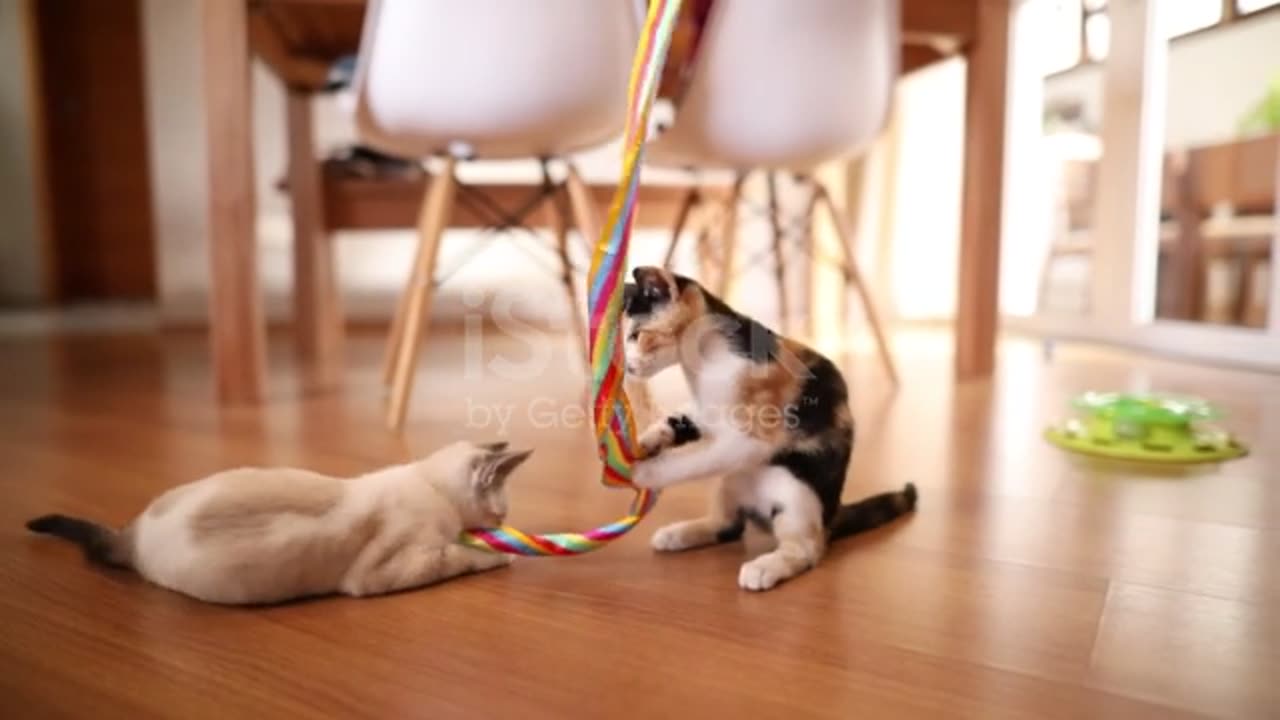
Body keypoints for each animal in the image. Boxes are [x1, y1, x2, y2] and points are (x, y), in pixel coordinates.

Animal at [24, 440, 527, 602]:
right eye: (502, 512)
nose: (504, 520)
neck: (429, 483)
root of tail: (135, 532)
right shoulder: (393, 568)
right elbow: (459, 556)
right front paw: (497, 557)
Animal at [622, 265, 916, 589]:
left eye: (637, 335)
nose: (627, 366)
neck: (703, 365)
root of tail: (832, 515)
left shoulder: (750, 438)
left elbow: (692, 461)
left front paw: (643, 473)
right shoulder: (704, 409)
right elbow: (680, 419)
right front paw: (648, 440)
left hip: (795, 491)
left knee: (808, 549)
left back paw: (764, 567)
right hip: (731, 482)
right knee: (729, 526)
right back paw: (677, 533)